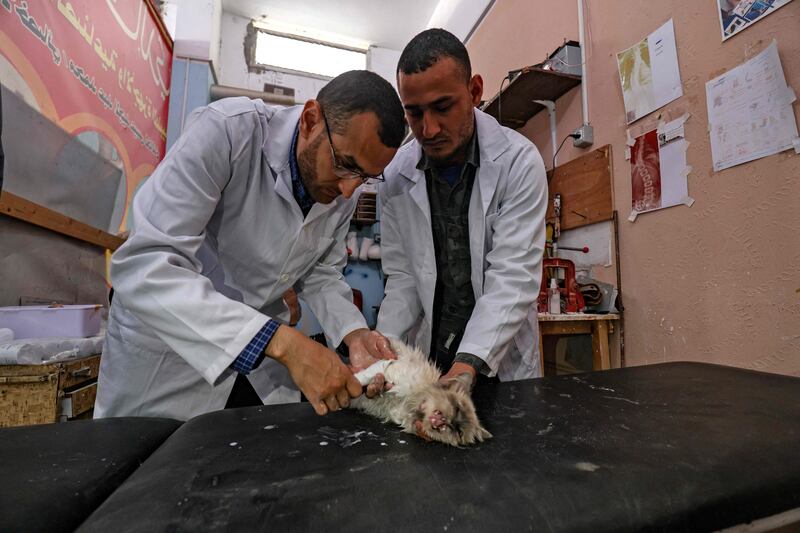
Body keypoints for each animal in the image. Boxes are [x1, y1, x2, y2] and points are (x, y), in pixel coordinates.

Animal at [352, 338, 490, 446]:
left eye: (459, 432)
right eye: (457, 408)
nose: (448, 423)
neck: (410, 402)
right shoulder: (389, 367)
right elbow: (363, 378)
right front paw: (350, 383)